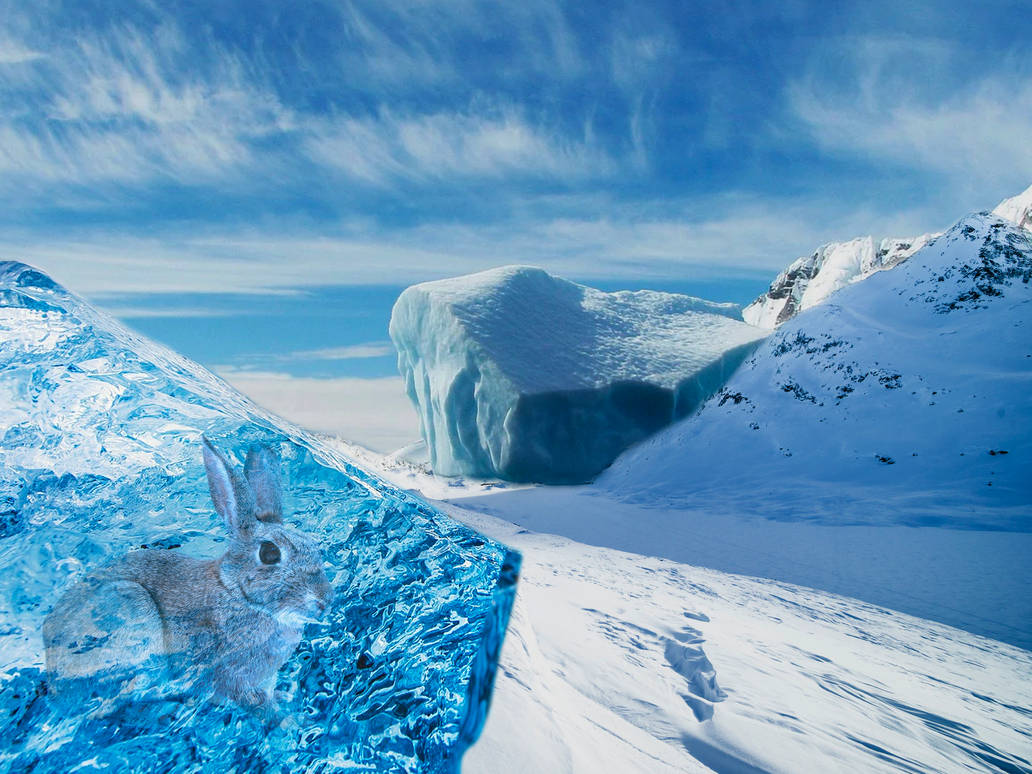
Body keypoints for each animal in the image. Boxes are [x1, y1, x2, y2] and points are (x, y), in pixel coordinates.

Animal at [42, 437, 333, 721]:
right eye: (270, 553)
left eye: (314, 546)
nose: (325, 601)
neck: (237, 594)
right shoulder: (234, 676)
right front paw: (287, 721)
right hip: (129, 608)